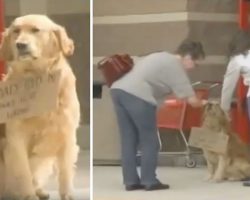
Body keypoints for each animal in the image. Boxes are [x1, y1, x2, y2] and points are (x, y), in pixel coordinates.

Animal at [0, 14, 80, 200]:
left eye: (35, 30)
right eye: (16, 31)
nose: (20, 45)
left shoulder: (67, 134)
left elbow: (65, 171)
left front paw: (68, 194)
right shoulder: (16, 139)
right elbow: (23, 173)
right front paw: (29, 195)